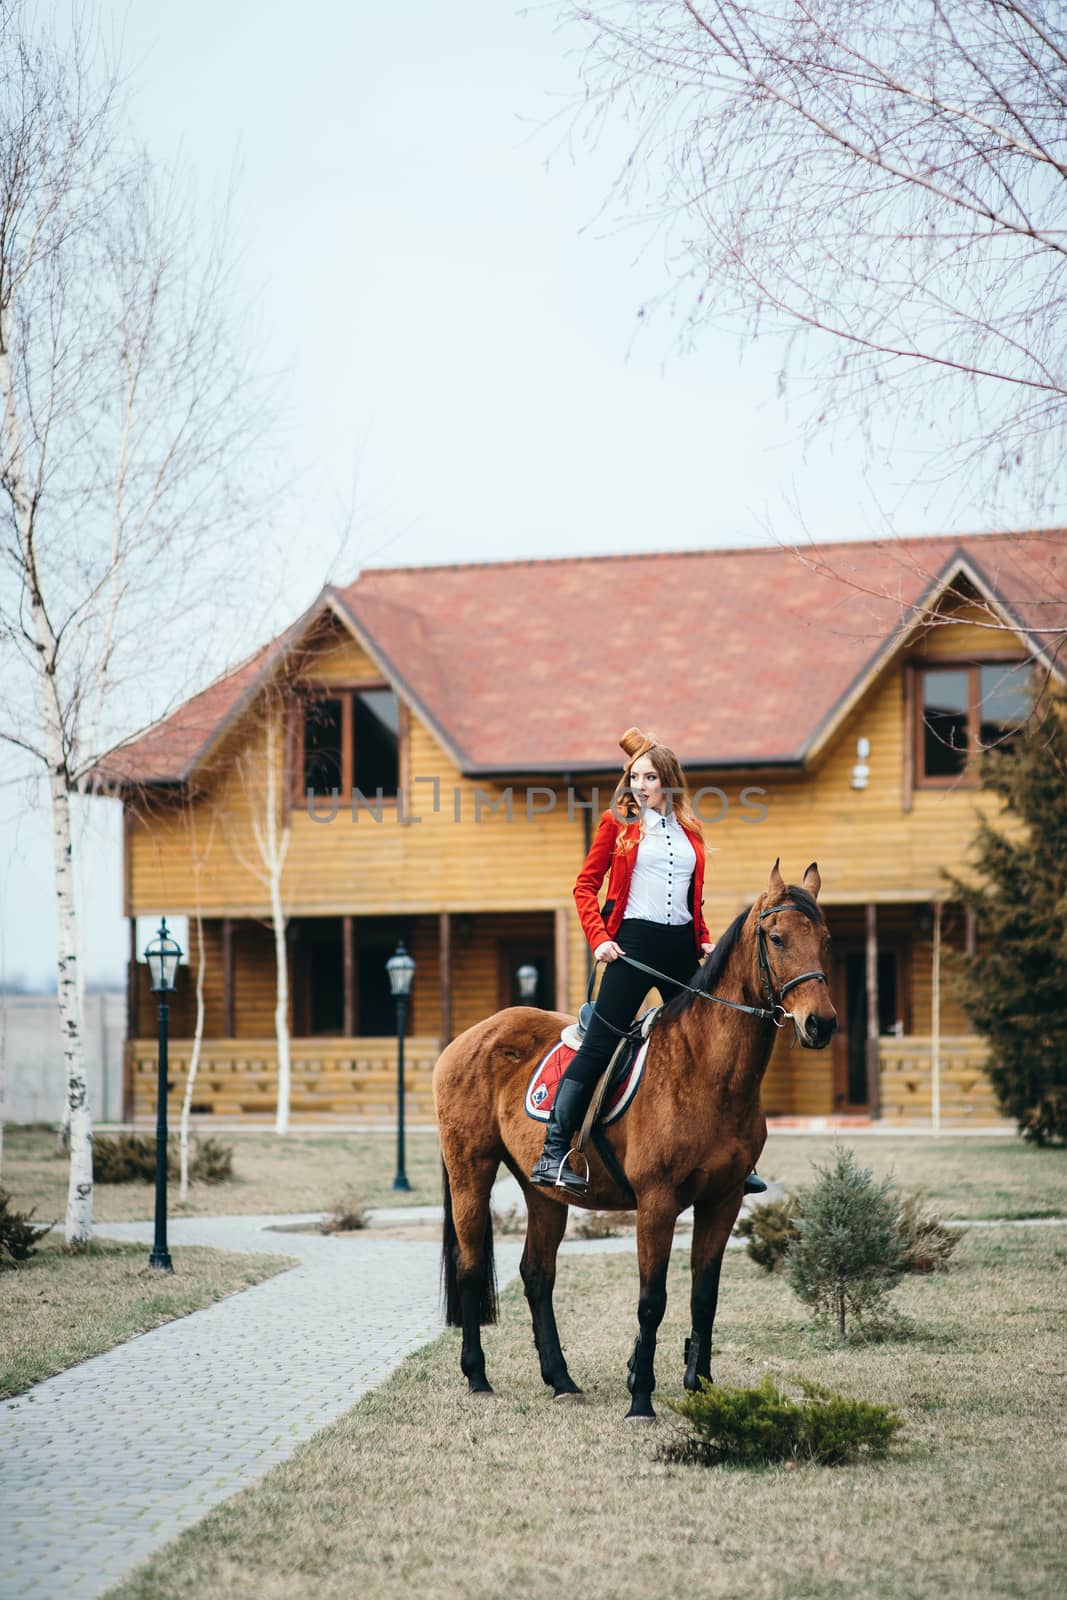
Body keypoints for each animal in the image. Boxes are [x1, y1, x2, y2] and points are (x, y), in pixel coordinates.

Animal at [431, 870, 831, 1420]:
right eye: (777, 939)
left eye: (826, 939)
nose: (821, 1023)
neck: (706, 1069)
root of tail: (470, 1036)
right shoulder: (657, 1203)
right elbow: (652, 1299)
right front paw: (641, 1396)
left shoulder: (723, 1201)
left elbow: (704, 1296)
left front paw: (700, 1385)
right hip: (471, 1170)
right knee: (470, 1268)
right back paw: (477, 1376)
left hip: (544, 1193)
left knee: (537, 1275)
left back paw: (561, 1379)